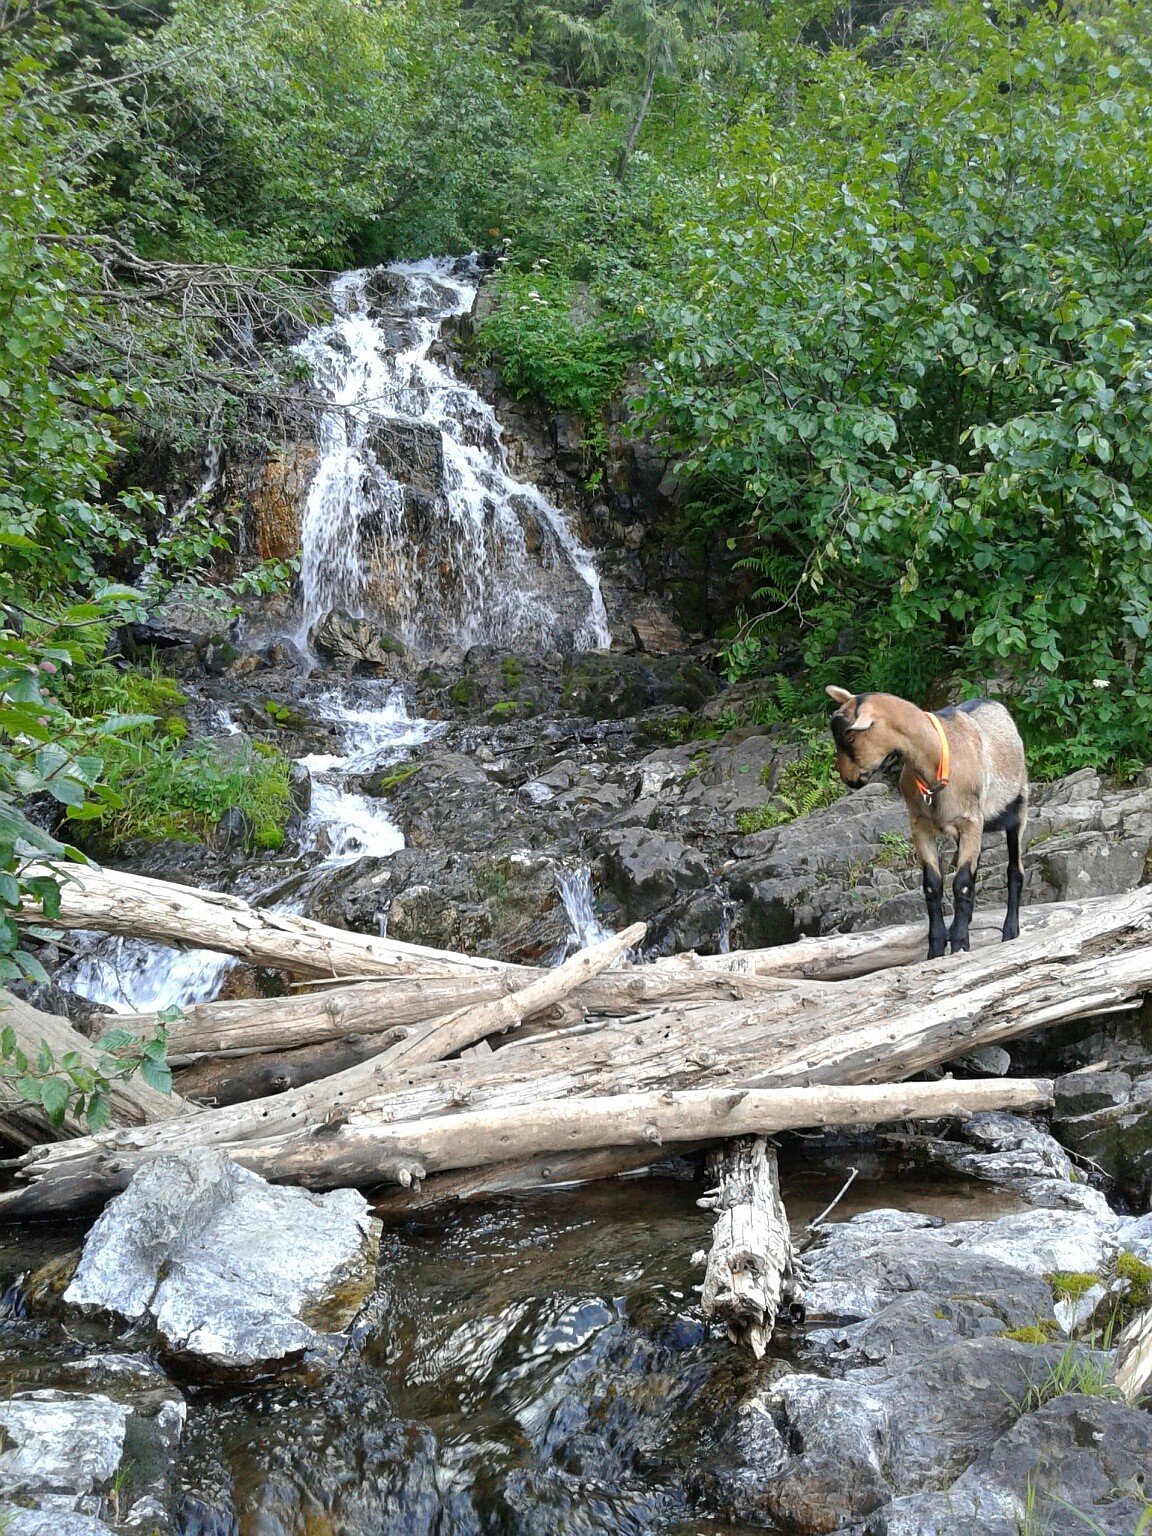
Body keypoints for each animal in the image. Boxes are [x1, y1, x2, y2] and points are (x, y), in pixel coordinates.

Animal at [823, 688, 1032, 958]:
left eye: (850, 735)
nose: (848, 779)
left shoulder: (971, 821)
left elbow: (963, 883)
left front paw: (960, 942)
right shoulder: (919, 825)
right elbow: (933, 885)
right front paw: (936, 946)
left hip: (1018, 807)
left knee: (1015, 869)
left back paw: (1010, 931)